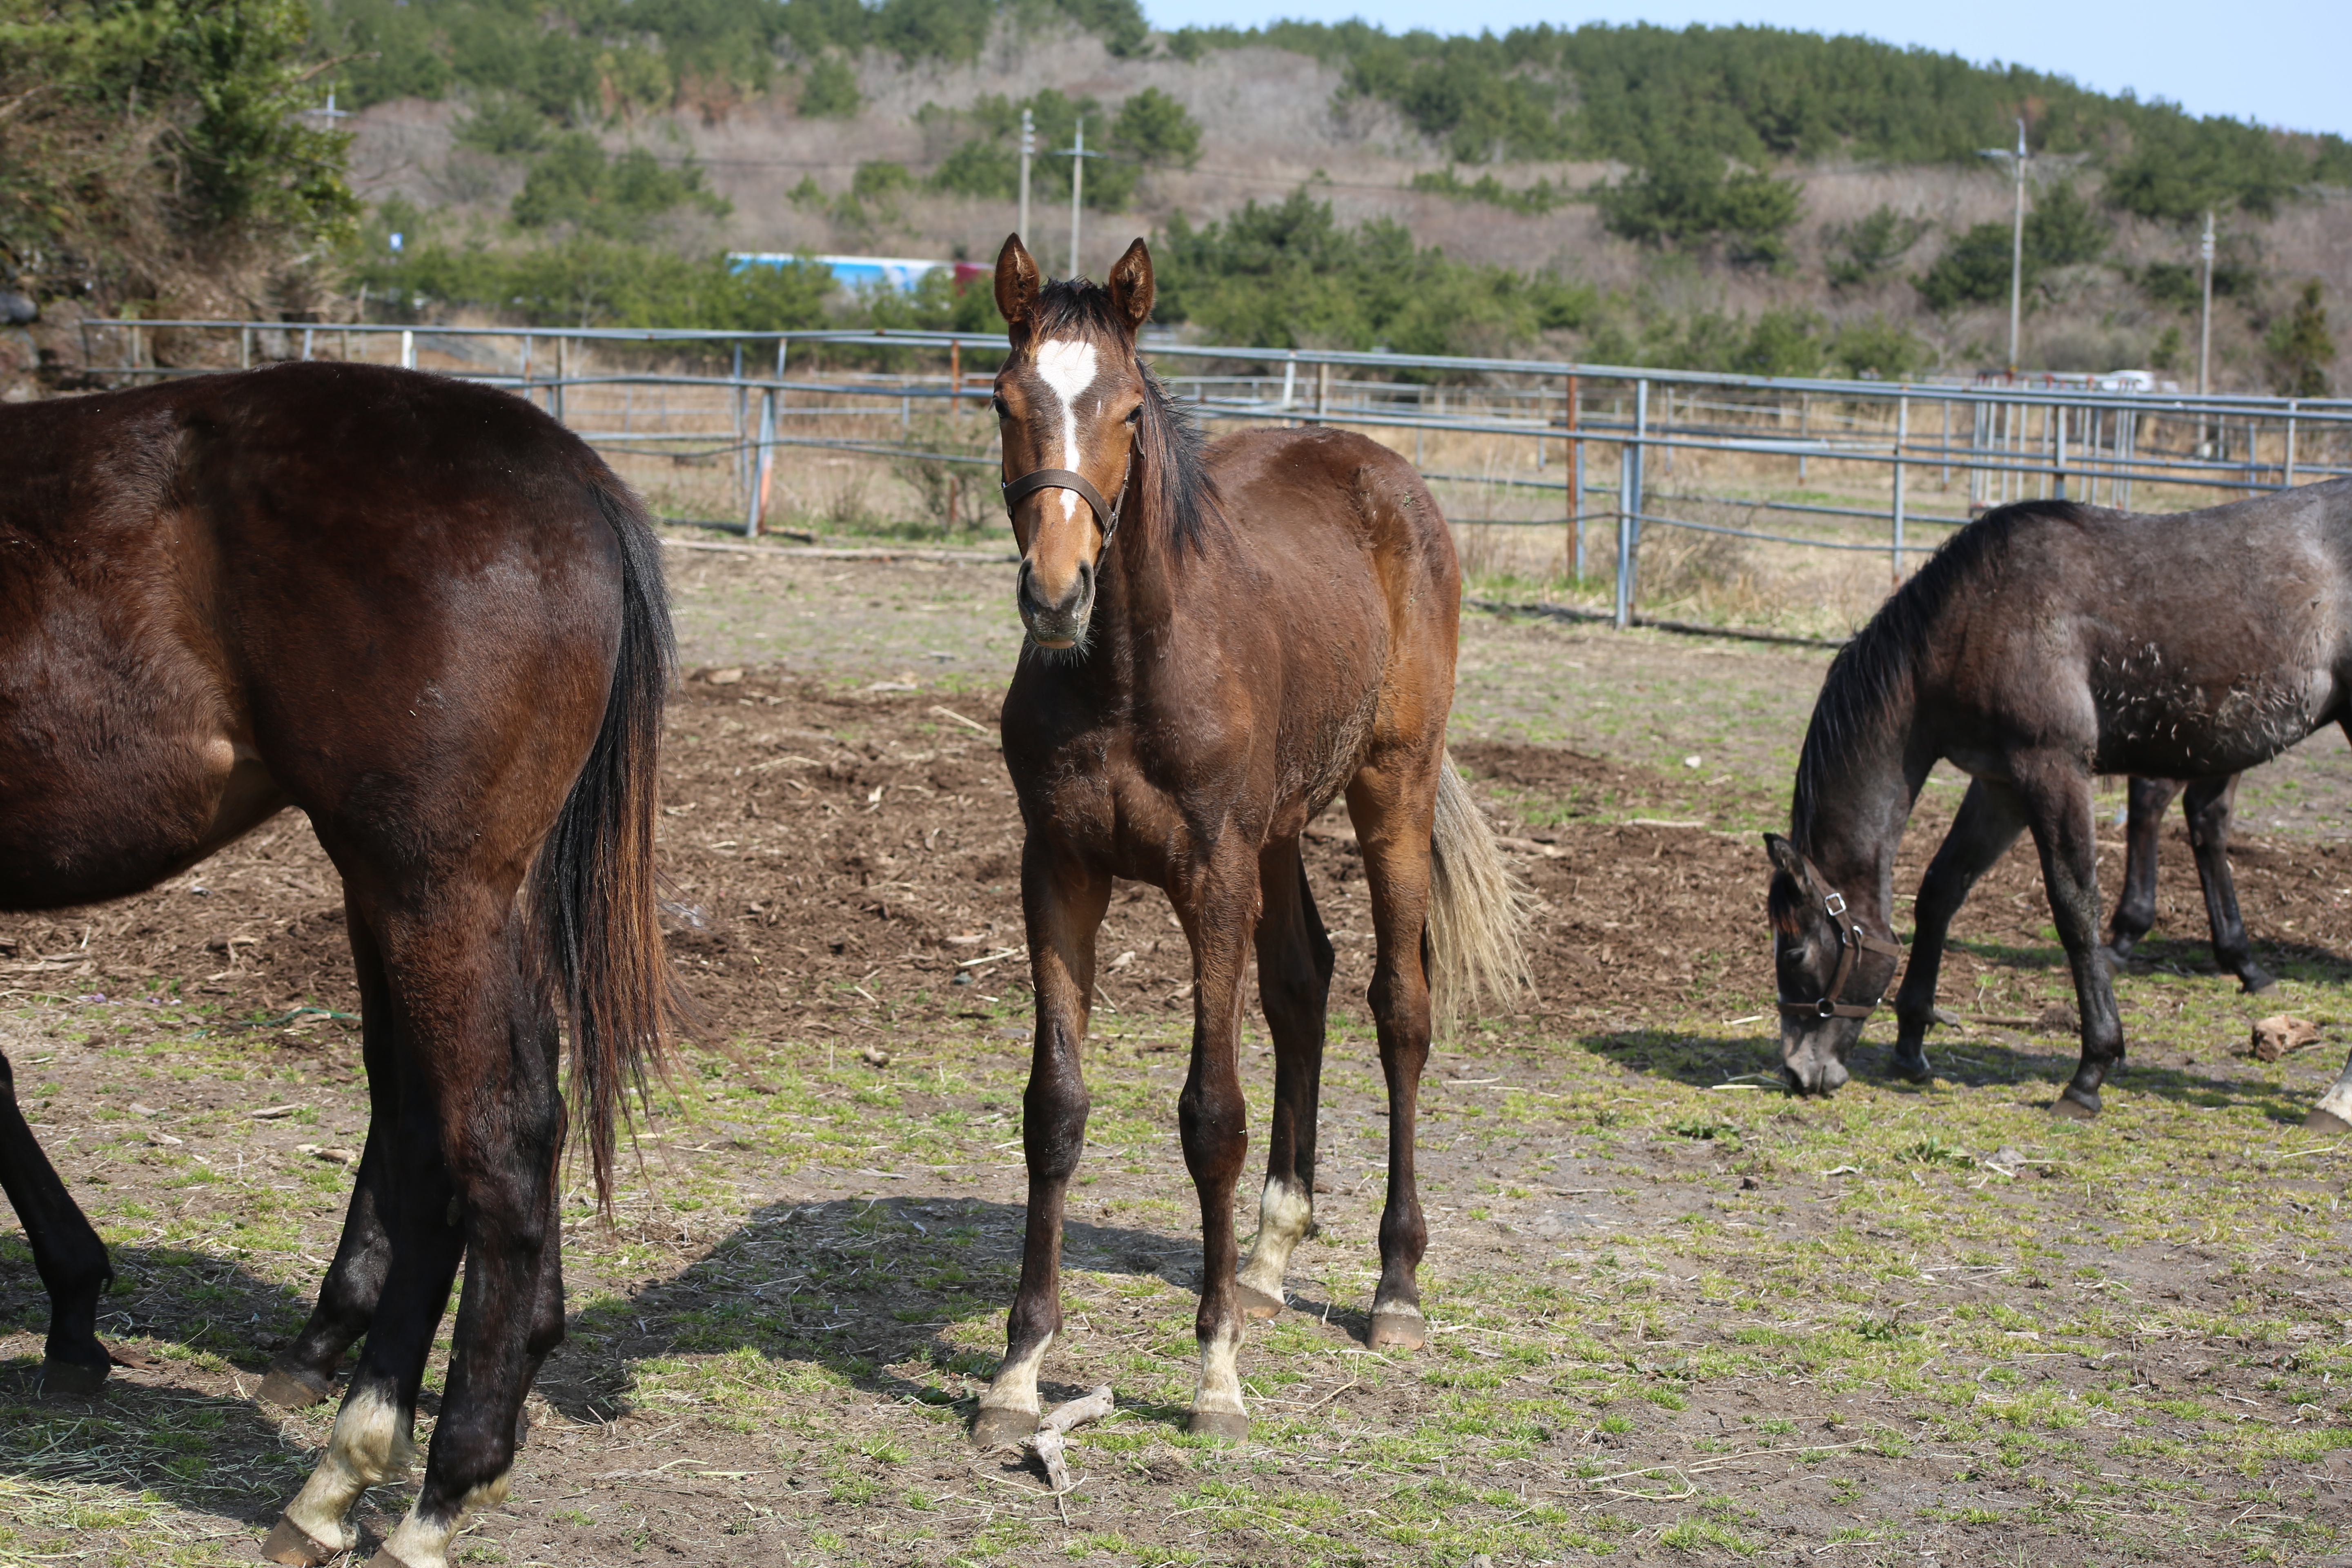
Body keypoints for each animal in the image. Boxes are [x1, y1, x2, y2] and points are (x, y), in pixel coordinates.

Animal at [0, 362, 682, 1561]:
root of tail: (574, 475)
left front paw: (75, 1312)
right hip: (431, 893)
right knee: (426, 1132)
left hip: (427, 889)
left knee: (490, 1141)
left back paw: (416, 1486)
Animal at [969, 236, 1533, 1448]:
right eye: (1002, 399)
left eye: (1130, 409)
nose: (1055, 593)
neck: (1125, 675)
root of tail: (1383, 474)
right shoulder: (1059, 872)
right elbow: (1055, 1109)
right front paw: (1017, 1370)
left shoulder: (1210, 878)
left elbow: (1210, 1116)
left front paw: (1214, 1375)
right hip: (1280, 829)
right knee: (1302, 983)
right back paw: (1269, 1259)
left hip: (1390, 790)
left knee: (1399, 1009)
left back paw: (1394, 1288)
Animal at [1768, 484, 2352, 1123]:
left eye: (1794, 954)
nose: (1798, 1072)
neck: (1971, 619)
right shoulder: (1999, 784)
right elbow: (1941, 889)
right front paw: (1911, 1042)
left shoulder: (2052, 767)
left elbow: (2073, 908)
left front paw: (2090, 1072)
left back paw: (2336, 1098)